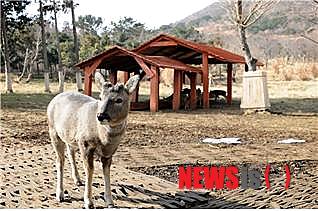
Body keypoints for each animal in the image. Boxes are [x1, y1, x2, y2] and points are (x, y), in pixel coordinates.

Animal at [46, 71, 139, 209]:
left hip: (69, 135)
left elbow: (106, 171)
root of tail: (54, 99)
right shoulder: (85, 143)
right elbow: (90, 170)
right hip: (53, 131)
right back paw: (60, 194)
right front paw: (88, 202)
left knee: (70, 152)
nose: (101, 115)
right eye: (100, 97)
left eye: (119, 99)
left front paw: (110, 201)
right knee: (60, 160)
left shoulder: (109, 152)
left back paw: (77, 180)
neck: (103, 139)